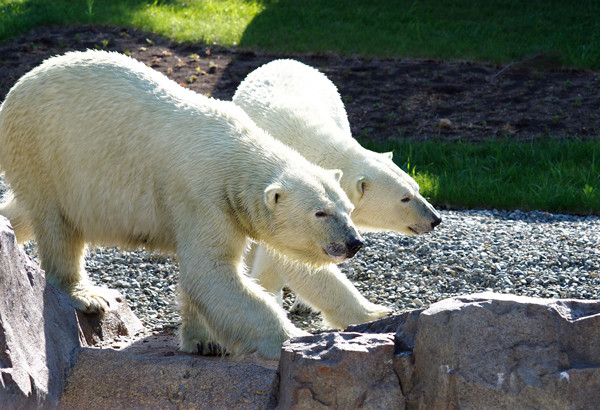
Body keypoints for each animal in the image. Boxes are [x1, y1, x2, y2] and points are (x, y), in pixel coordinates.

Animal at [0, 50, 364, 358]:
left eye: (347, 209)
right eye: (320, 212)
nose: (353, 242)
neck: (236, 154)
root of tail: (17, 86)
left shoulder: (226, 209)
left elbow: (207, 275)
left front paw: (203, 341)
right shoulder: (203, 195)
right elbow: (211, 269)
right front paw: (289, 339)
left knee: (26, 212)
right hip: (45, 154)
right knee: (58, 227)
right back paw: (88, 295)